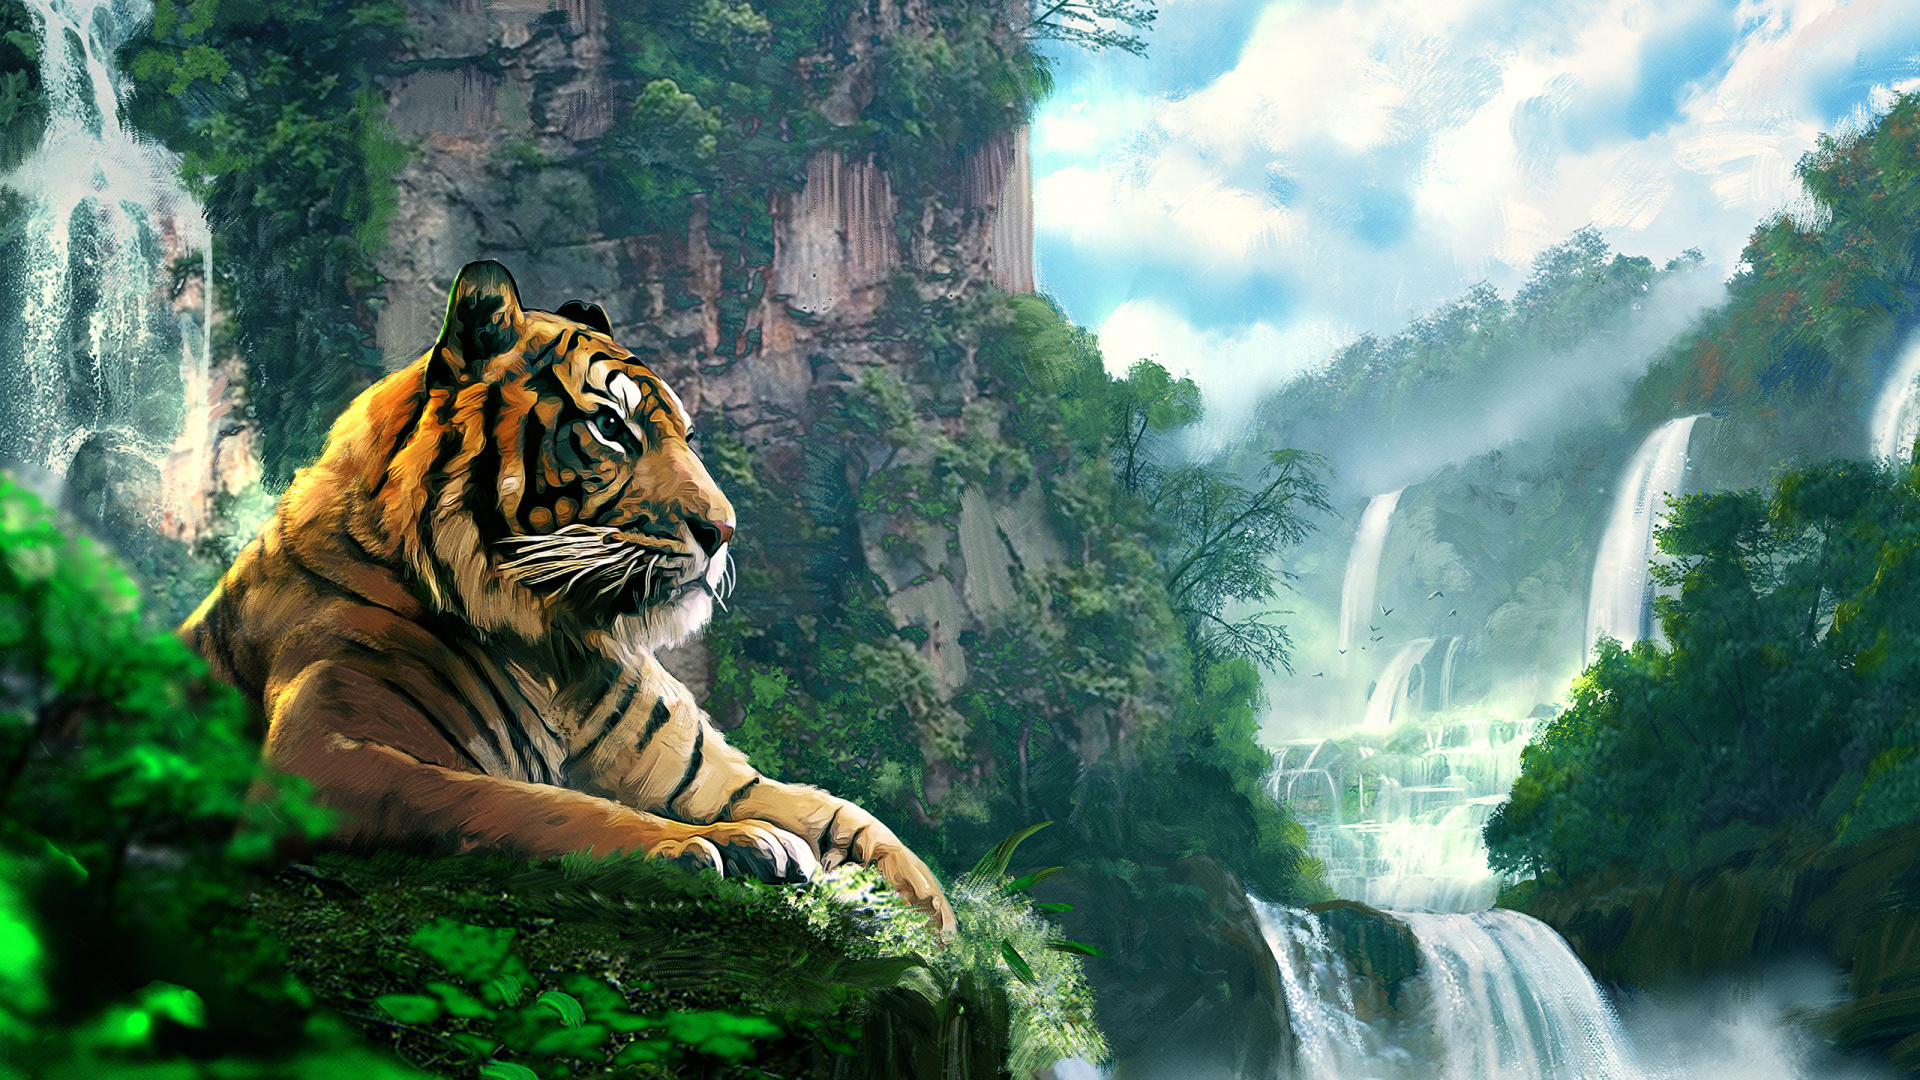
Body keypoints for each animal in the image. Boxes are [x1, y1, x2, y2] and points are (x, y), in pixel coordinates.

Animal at [180, 259, 954, 931]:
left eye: (687, 435)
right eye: (611, 427)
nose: (724, 529)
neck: (556, 644)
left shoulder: (709, 778)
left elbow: (845, 817)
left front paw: (938, 919)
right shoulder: (326, 757)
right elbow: (528, 803)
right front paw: (706, 845)